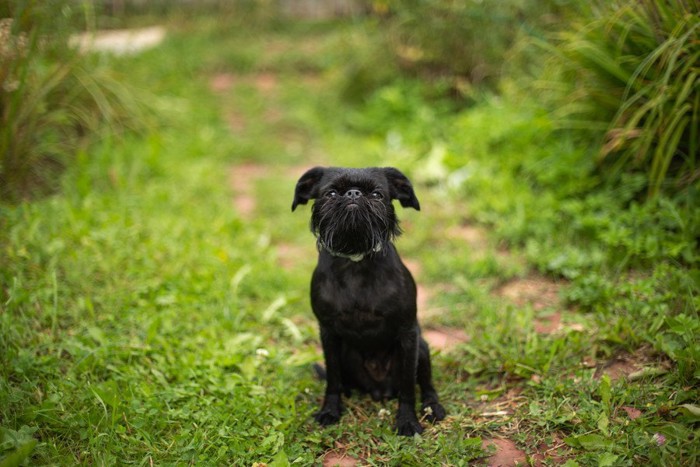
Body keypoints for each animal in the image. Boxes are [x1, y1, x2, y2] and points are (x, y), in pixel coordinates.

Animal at [292, 166, 446, 436]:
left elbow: (408, 386)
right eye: (331, 193)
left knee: (426, 385)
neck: (355, 262)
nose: (353, 194)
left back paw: (432, 407)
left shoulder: (408, 334)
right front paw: (330, 410)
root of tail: (379, 390)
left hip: (423, 348)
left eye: (376, 194)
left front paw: (407, 421)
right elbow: (332, 378)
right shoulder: (328, 333)